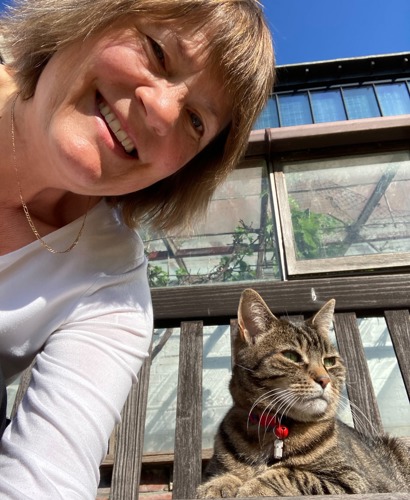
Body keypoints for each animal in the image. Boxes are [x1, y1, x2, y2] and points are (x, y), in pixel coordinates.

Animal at [196, 288, 410, 498]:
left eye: (330, 361)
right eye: (291, 356)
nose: (325, 379)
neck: (272, 429)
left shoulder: (351, 479)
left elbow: (291, 473)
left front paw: (253, 486)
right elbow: (225, 474)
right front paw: (217, 484)